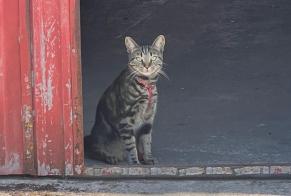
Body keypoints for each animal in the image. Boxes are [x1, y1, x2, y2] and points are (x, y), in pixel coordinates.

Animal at [85, 34, 167, 164]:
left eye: (153, 58)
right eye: (139, 58)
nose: (147, 66)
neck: (146, 85)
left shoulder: (148, 120)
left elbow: (146, 141)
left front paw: (148, 158)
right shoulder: (126, 120)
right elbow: (131, 145)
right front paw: (135, 163)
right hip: (101, 136)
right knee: (94, 151)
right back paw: (110, 157)